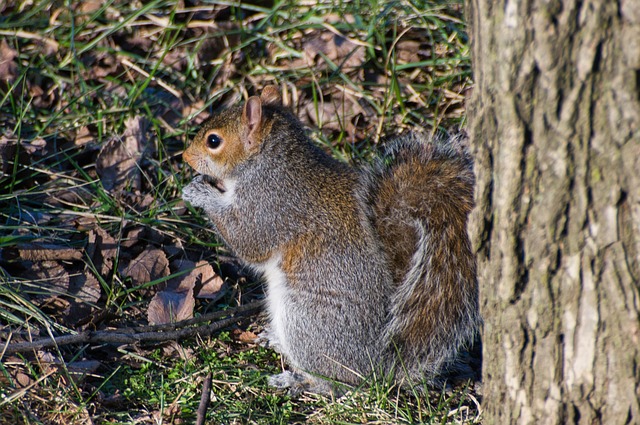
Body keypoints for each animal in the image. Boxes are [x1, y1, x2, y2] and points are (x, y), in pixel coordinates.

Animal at [181, 85, 480, 394]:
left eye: (213, 140)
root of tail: (379, 367)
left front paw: (199, 192)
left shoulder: (270, 205)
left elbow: (249, 242)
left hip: (305, 321)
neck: (268, 162)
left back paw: (297, 380)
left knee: (335, 384)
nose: (185, 157)